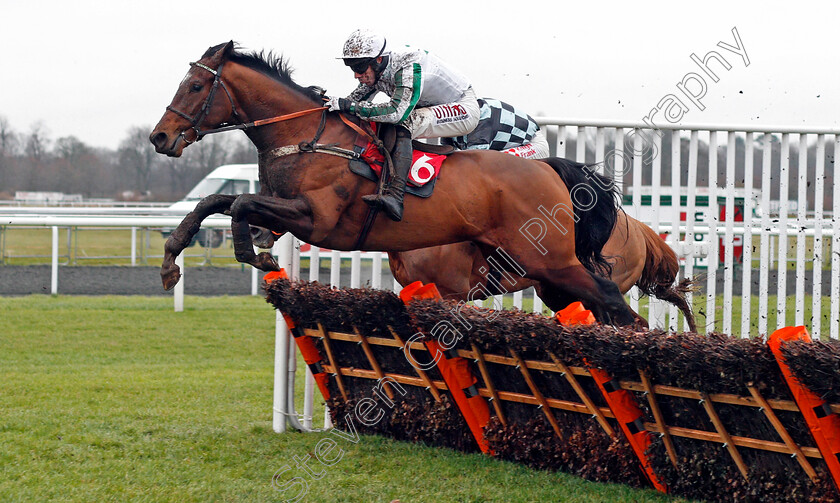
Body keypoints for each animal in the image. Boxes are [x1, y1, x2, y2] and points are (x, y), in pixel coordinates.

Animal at [151, 42, 640, 326]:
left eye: (195, 86)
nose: (160, 137)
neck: (307, 136)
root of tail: (547, 168)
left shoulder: (316, 220)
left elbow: (237, 207)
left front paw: (257, 256)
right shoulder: (280, 205)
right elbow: (216, 201)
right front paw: (172, 260)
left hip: (552, 261)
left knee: (611, 297)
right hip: (543, 273)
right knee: (596, 303)